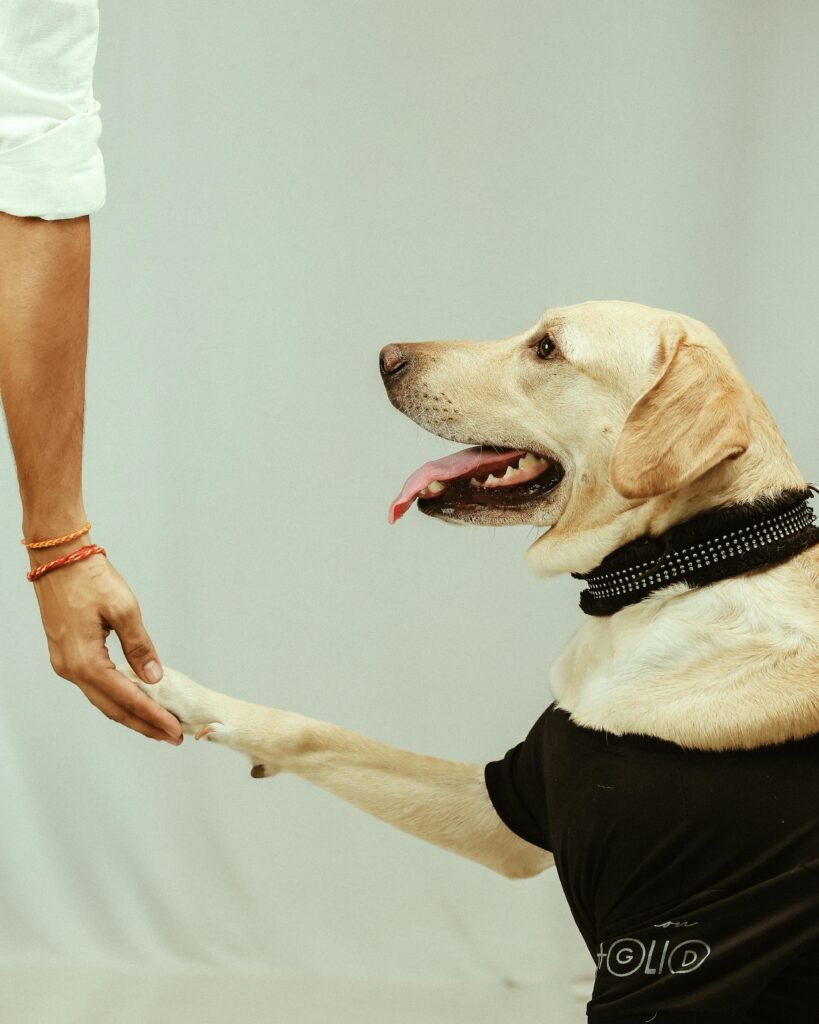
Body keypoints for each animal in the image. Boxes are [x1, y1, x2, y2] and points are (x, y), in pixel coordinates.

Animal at [121, 299, 818, 1019]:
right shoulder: (507, 807)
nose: (386, 357)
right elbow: (320, 734)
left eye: (547, 348)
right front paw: (171, 689)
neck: (683, 566)